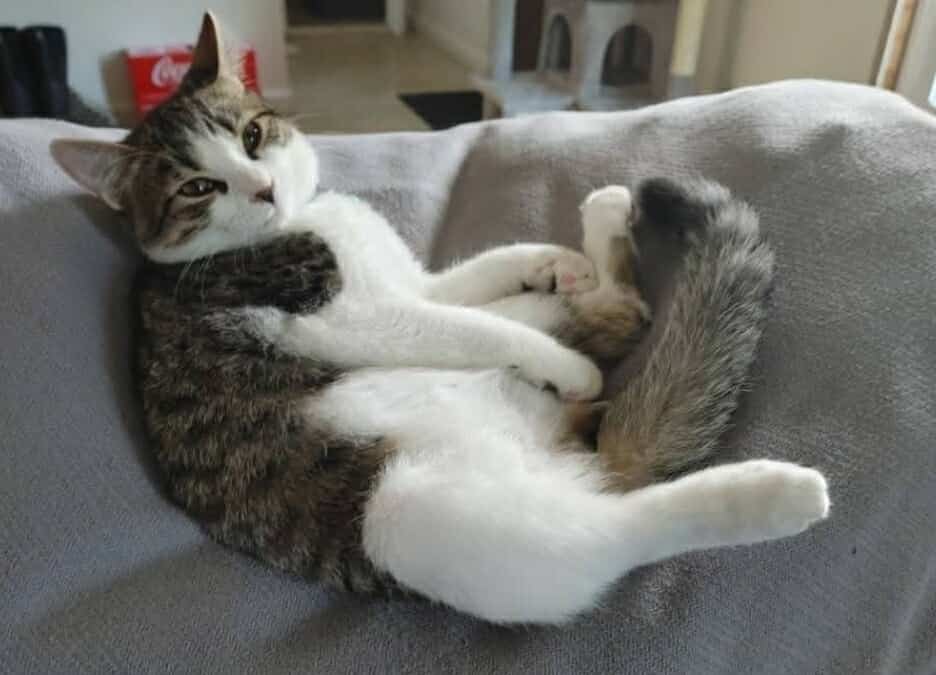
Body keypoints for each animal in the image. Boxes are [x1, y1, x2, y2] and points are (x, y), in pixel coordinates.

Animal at [50, 13, 828, 625]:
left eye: (252, 135)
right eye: (197, 188)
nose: (264, 187)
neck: (302, 223)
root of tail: (559, 450)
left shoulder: (412, 282)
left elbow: (472, 278)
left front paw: (547, 258)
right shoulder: (344, 317)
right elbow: (466, 325)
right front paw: (560, 354)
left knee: (615, 311)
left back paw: (597, 235)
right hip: (410, 519)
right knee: (620, 529)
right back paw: (774, 493)